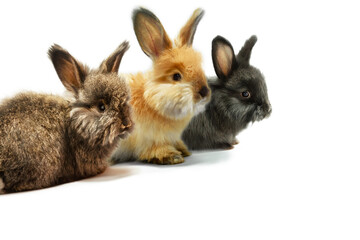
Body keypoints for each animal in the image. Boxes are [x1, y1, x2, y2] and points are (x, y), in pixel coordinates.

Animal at [110, 7, 211, 165]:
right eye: (176, 76)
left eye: (200, 69)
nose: (204, 92)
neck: (151, 102)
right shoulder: (149, 139)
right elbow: (155, 149)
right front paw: (172, 156)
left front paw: (183, 150)